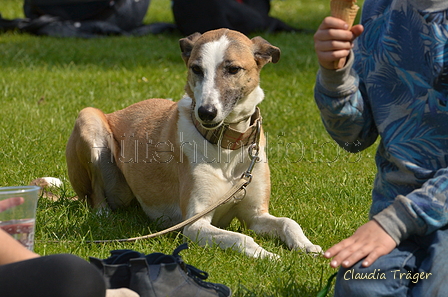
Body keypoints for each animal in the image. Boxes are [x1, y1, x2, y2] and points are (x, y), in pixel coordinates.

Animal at [65, 28, 320, 258]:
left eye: (233, 69)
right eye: (196, 69)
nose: (206, 112)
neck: (226, 145)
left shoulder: (256, 215)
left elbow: (288, 222)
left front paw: (308, 246)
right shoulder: (195, 224)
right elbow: (242, 238)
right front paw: (268, 255)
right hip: (89, 122)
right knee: (96, 196)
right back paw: (103, 216)